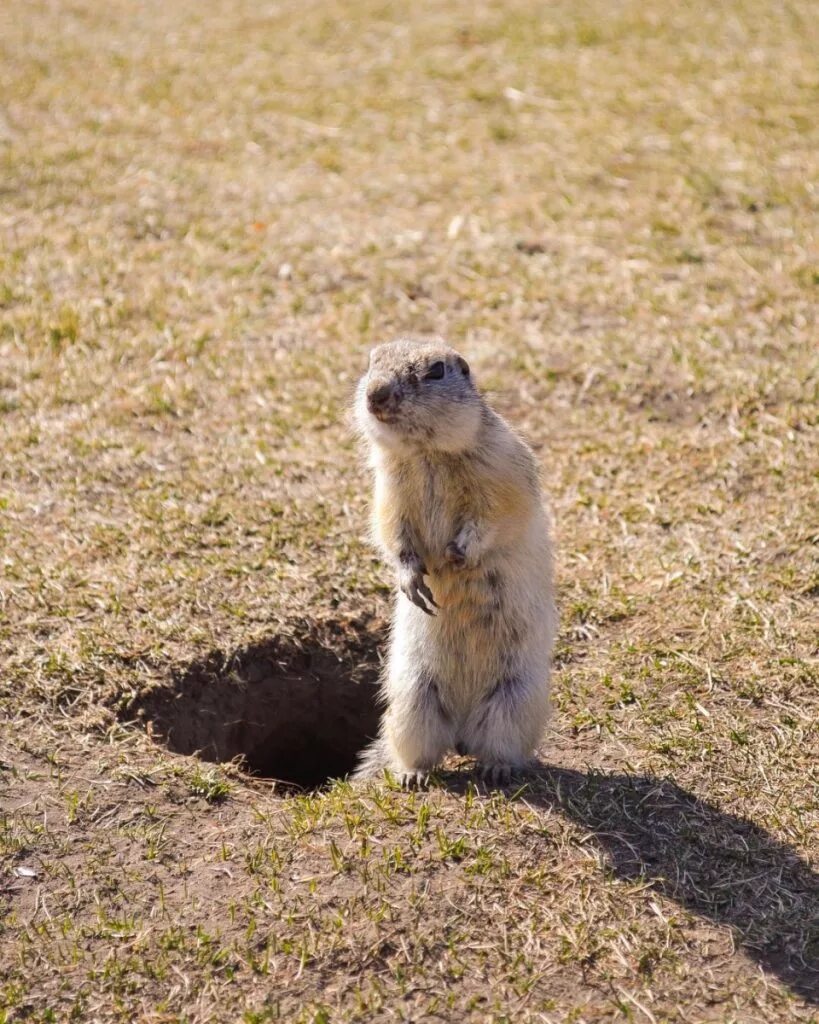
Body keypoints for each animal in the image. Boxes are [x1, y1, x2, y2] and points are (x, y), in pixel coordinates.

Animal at [352, 335, 556, 782]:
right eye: (372, 360)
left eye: (436, 371)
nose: (376, 393)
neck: (427, 452)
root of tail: (462, 728)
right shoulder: (389, 489)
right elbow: (393, 533)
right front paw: (413, 580)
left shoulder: (502, 469)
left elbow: (496, 516)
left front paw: (458, 556)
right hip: (413, 698)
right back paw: (412, 774)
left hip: (514, 700)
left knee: (499, 743)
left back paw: (497, 768)